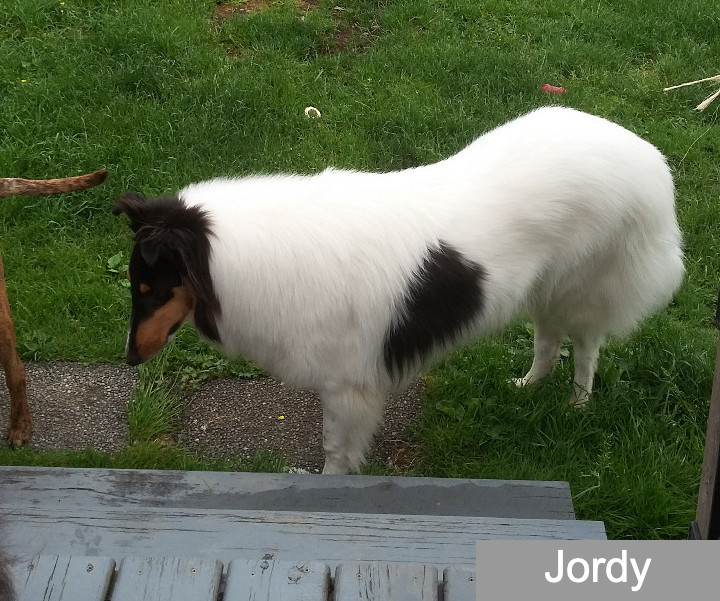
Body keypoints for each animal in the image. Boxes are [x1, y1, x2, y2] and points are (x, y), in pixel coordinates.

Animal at [114, 106, 688, 474]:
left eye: (150, 289)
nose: (129, 360)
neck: (231, 257)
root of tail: (648, 159)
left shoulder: (348, 389)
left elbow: (336, 454)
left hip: (583, 289)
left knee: (586, 349)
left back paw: (576, 406)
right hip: (543, 287)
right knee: (548, 342)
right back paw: (527, 386)